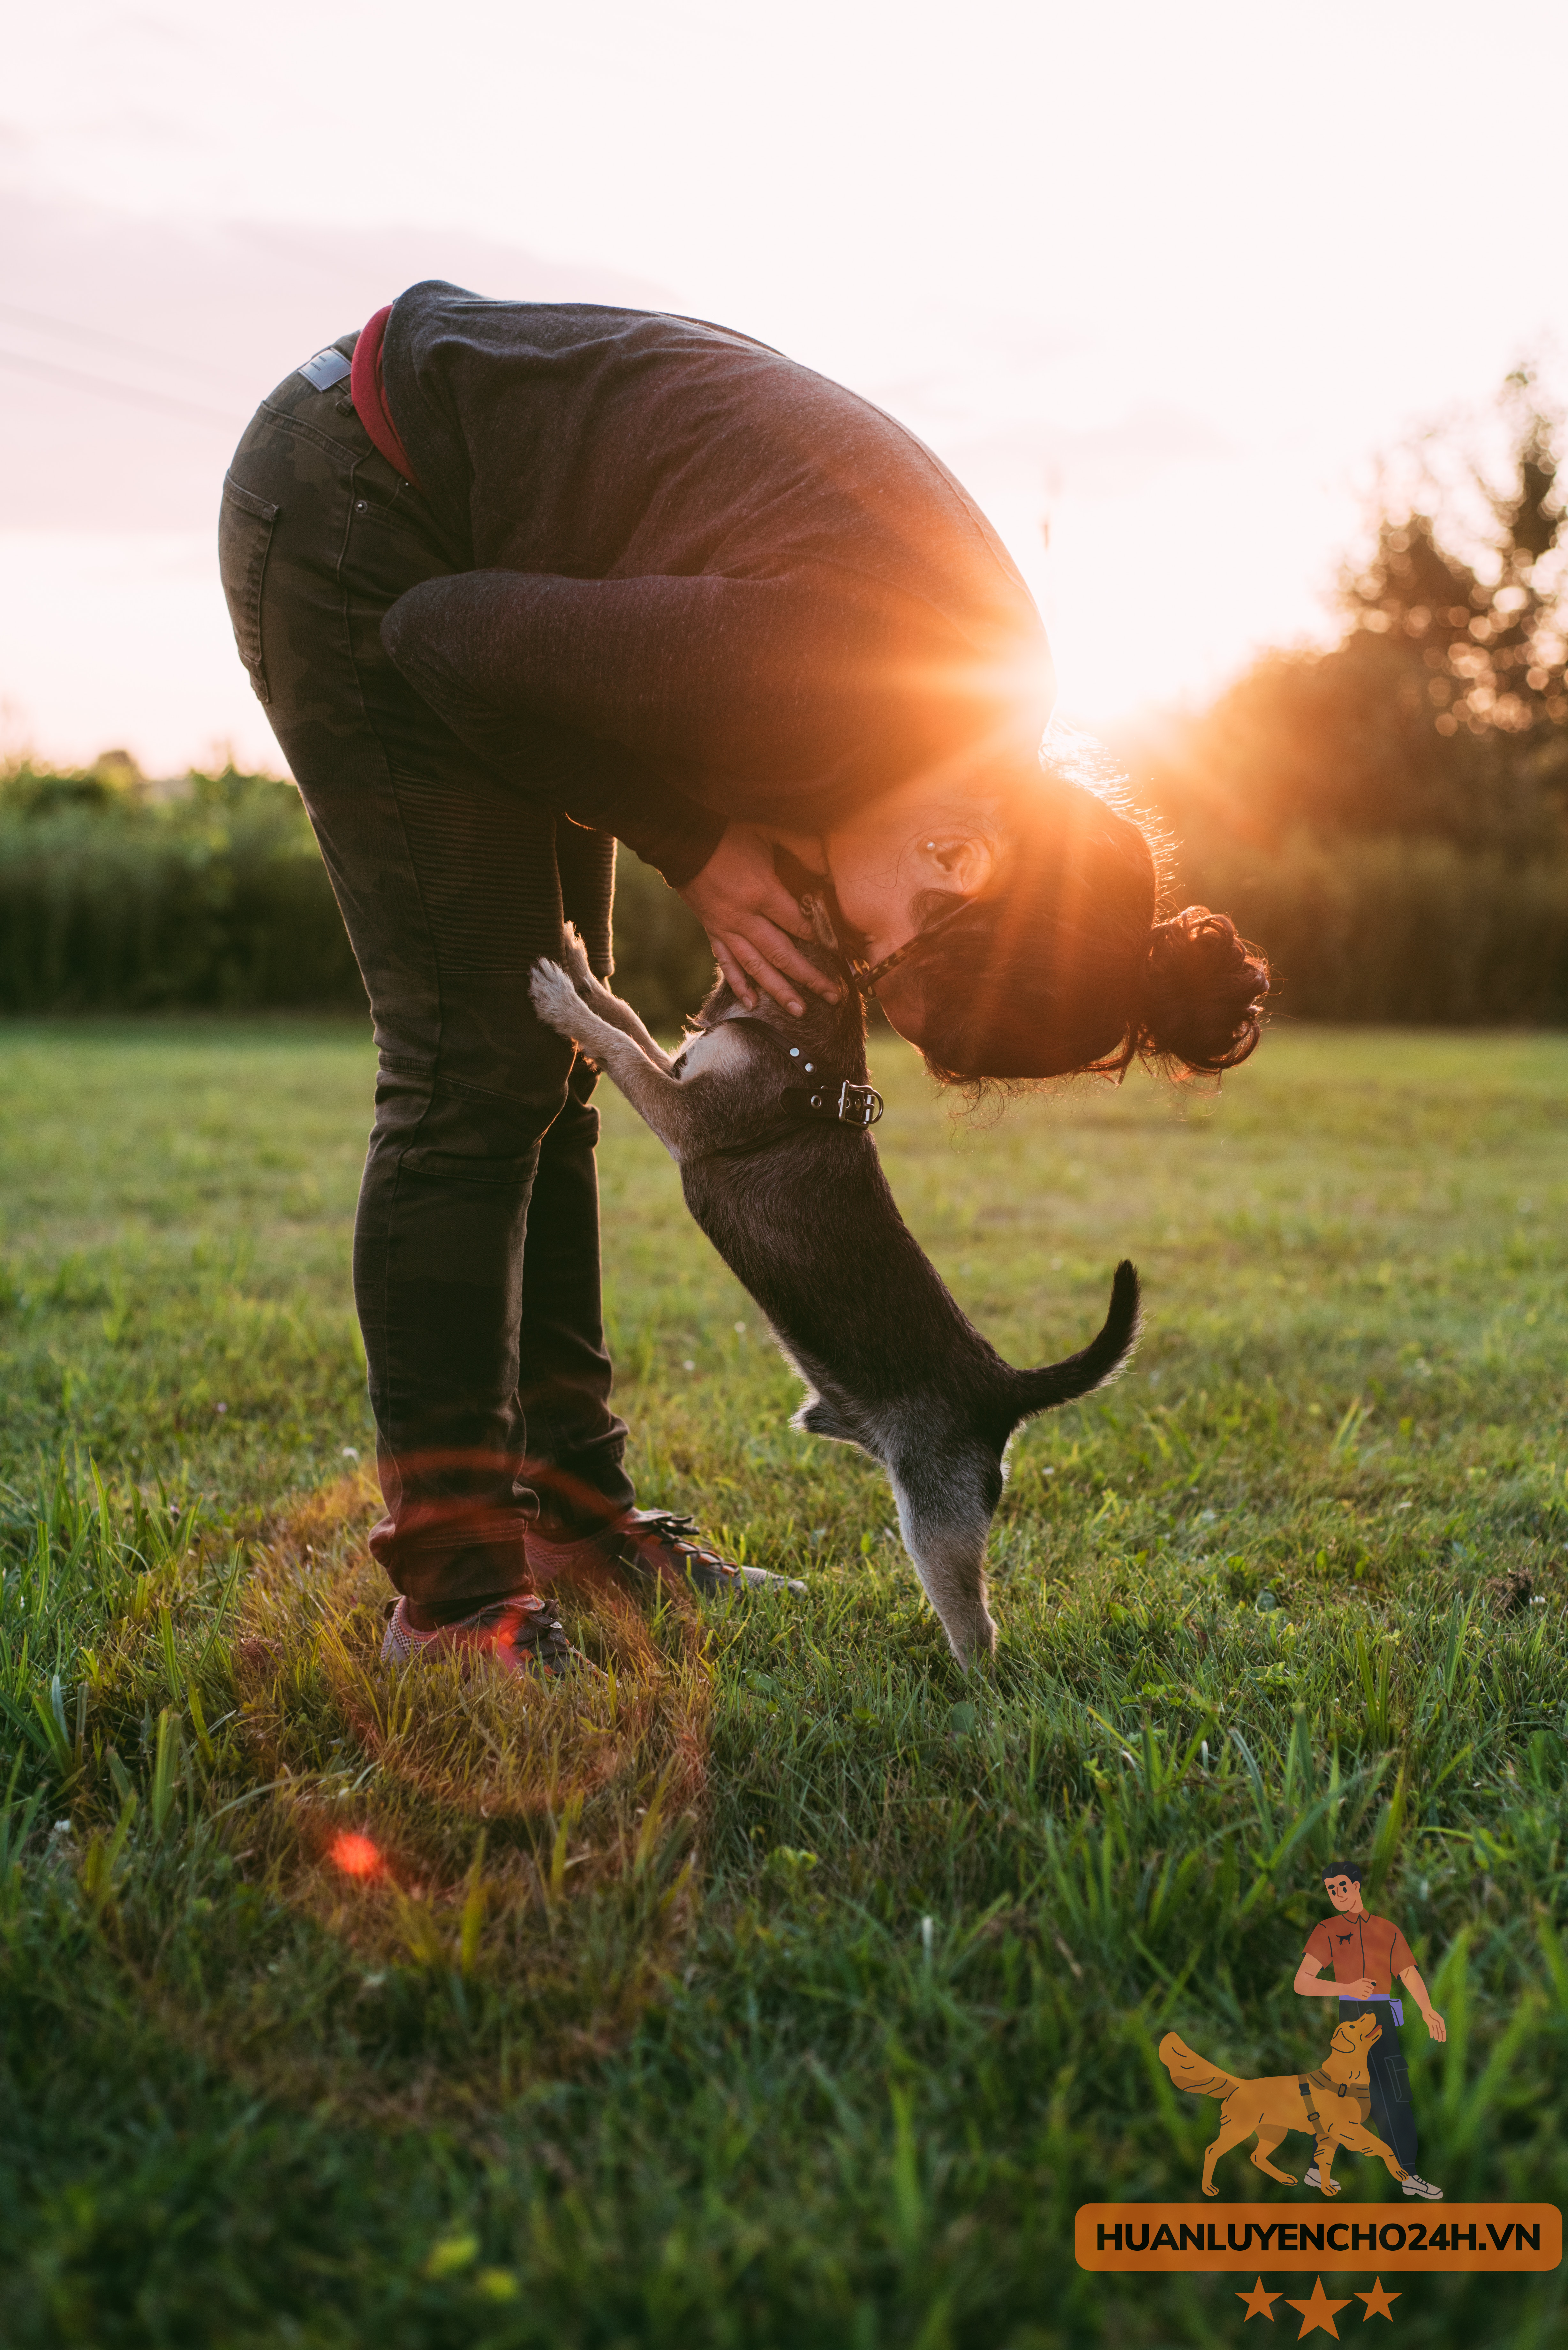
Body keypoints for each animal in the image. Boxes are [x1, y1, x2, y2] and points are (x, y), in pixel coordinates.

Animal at [526, 907, 1142, 1664]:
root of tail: (1003, 1387)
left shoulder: (682, 1114)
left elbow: (616, 1045)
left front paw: (561, 1002)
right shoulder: (677, 1069)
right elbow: (624, 1018)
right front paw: (580, 966)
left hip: (935, 1520)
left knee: (978, 1627)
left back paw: (969, 1683)